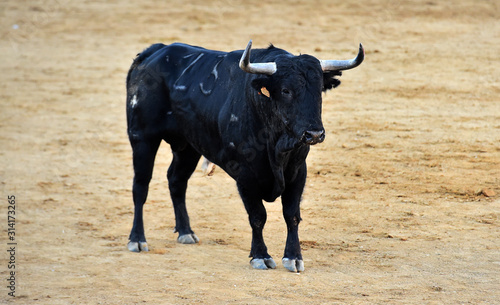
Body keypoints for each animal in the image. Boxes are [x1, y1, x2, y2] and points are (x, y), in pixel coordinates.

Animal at [126, 39, 364, 270]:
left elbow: (292, 215)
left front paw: (293, 257)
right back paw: (137, 239)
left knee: (177, 180)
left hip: (188, 146)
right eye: (286, 91)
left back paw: (185, 232)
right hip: (142, 138)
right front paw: (260, 256)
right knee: (140, 186)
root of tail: (155, 51)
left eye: (319, 90)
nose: (314, 134)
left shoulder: (297, 172)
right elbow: (258, 216)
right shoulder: (246, 176)